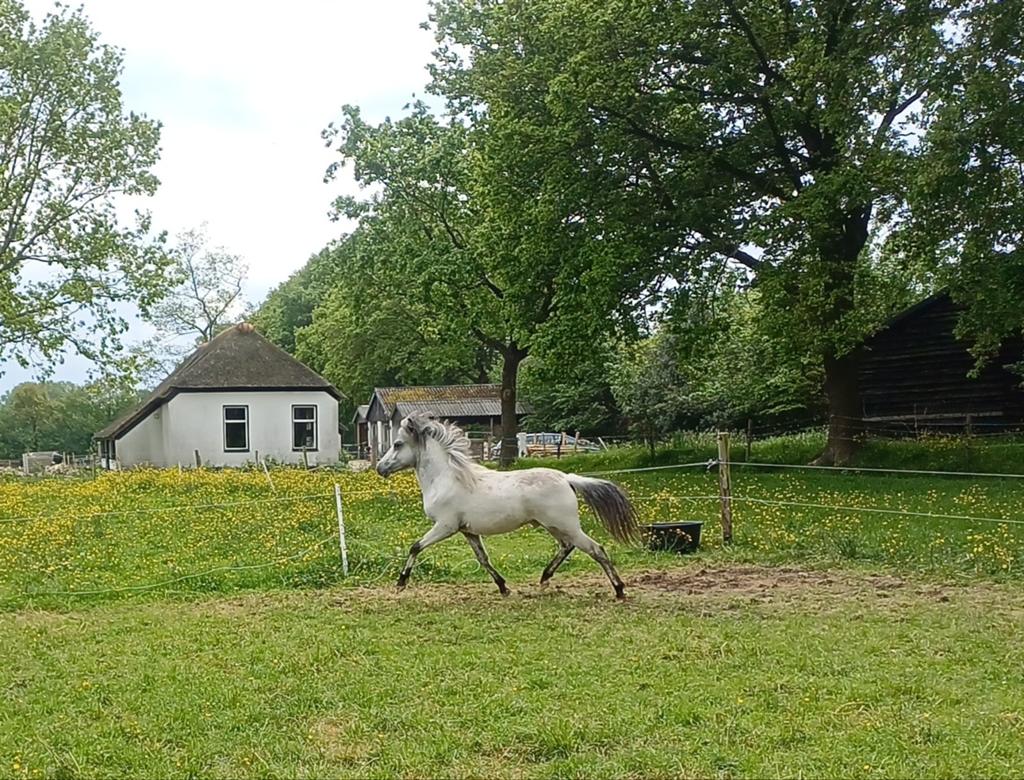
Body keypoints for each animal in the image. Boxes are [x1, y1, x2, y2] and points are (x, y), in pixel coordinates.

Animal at [375, 412, 639, 598]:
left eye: (397, 444)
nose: (380, 468)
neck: (448, 478)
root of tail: (567, 478)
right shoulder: (467, 531)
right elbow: (483, 559)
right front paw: (503, 587)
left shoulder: (445, 526)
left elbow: (415, 547)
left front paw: (400, 582)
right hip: (555, 526)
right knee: (567, 547)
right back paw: (544, 578)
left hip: (565, 525)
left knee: (596, 549)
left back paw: (619, 590)